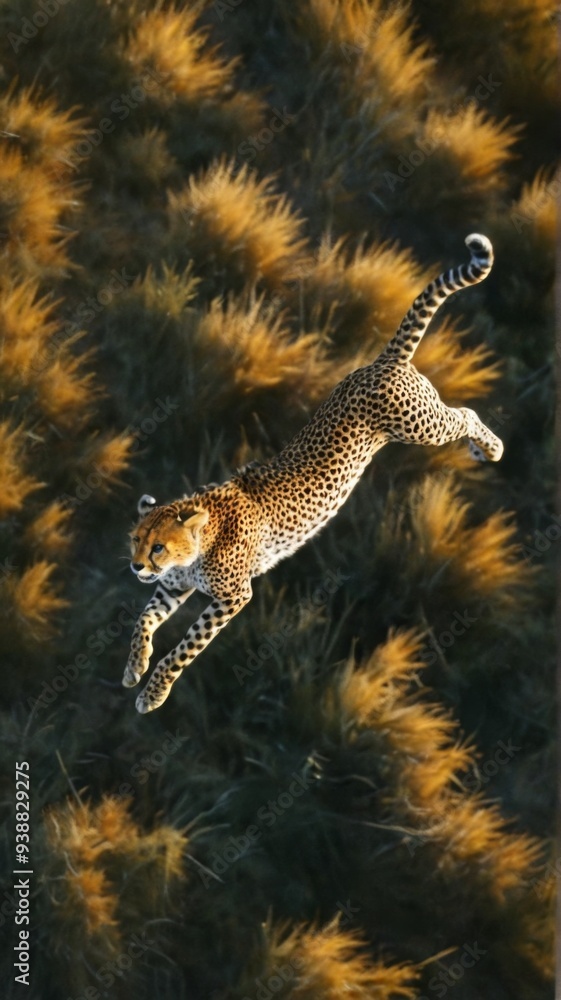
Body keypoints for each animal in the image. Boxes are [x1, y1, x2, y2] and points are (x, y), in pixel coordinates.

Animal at [123, 233, 503, 713]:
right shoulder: (173, 587)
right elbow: (142, 620)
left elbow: (184, 649)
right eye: (136, 541)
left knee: (465, 415)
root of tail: (380, 362)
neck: (197, 540)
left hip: (421, 425)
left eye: (157, 546)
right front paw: (135, 666)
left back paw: (490, 447)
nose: (136, 566)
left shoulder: (233, 595)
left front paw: (154, 692)